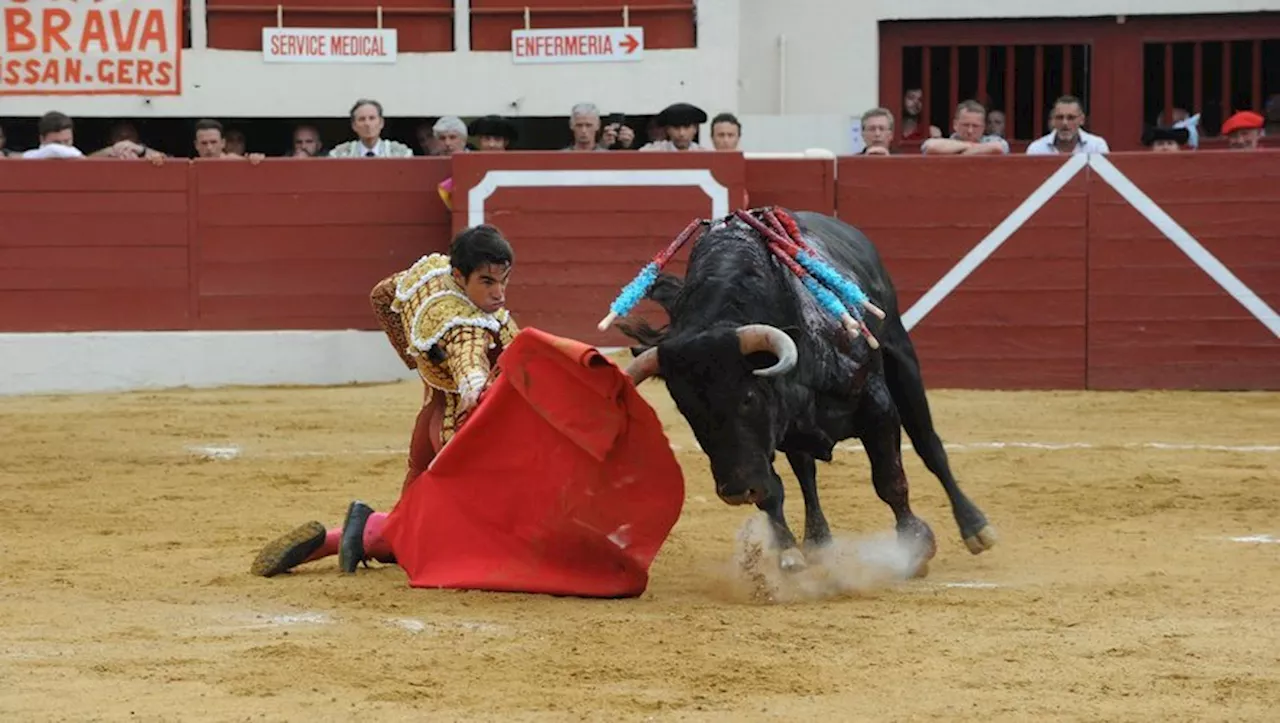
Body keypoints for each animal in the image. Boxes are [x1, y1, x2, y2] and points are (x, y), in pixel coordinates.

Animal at [614, 208, 993, 575]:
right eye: (687, 410)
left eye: (747, 398)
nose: (735, 493)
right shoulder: (767, 440)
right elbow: (771, 491)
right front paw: (789, 553)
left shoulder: (877, 406)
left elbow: (888, 477)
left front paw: (915, 544)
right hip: (795, 434)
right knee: (805, 472)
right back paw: (817, 541)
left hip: (901, 357)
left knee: (929, 445)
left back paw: (975, 528)